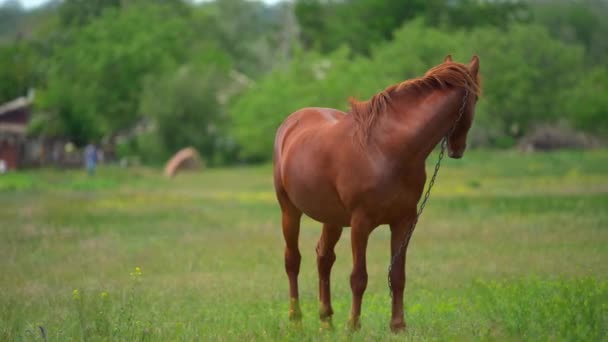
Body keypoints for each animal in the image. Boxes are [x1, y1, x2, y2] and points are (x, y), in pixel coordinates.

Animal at [274, 56, 482, 332]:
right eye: (476, 99)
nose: (458, 149)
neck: (386, 150)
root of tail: (291, 123)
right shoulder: (361, 223)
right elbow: (358, 277)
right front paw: (353, 326)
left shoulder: (404, 221)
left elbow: (397, 275)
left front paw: (398, 326)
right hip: (290, 211)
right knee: (292, 260)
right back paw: (296, 320)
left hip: (332, 219)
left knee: (324, 258)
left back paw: (326, 322)